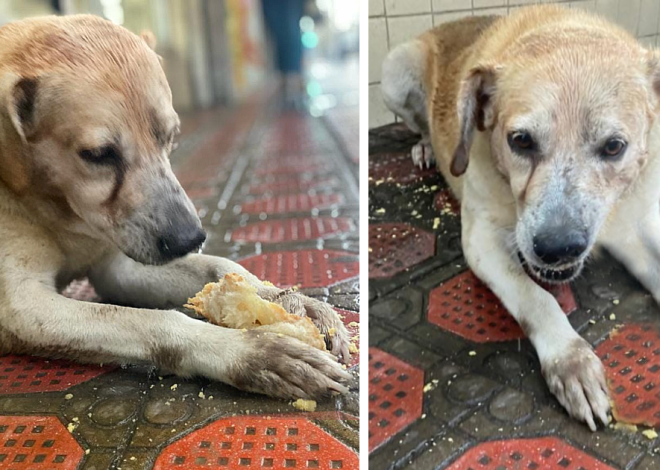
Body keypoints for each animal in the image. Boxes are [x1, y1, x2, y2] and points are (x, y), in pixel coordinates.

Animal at [0, 15, 354, 400]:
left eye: (170, 136)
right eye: (97, 154)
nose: (190, 239)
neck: (60, 209)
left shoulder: (117, 267)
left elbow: (221, 265)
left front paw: (281, 297)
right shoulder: (22, 305)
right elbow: (151, 319)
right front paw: (248, 351)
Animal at [382, 4, 660, 430]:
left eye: (614, 146)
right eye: (521, 140)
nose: (557, 248)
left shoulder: (634, 229)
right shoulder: (481, 242)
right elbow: (537, 298)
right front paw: (570, 361)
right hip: (395, 72)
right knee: (420, 124)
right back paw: (426, 146)